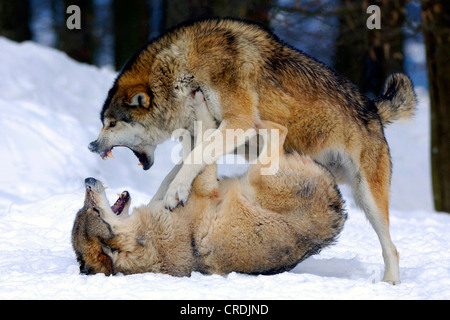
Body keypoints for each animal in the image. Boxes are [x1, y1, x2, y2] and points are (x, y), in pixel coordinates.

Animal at [72, 121, 346, 276]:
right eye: (93, 211)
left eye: (85, 208)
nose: (87, 180)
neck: (146, 239)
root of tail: (339, 209)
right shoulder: (206, 189)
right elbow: (197, 154)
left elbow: (174, 177)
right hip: (259, 173)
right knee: (277, 131)